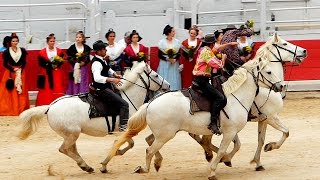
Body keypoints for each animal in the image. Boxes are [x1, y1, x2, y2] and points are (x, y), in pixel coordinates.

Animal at [18, 61, 170, 173]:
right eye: (156, 76)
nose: (168, 85)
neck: (129, 96)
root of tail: (50, 107)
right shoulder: (126, 129)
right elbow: (130, 143)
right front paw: (114, 155)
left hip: (70, 135)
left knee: (71, 149)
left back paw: (86, 166)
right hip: (72, 134)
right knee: (64, 149)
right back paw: (85, 166)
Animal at [101, 57, 284, 179]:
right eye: (268, 72)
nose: (281, 86)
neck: (235, 96)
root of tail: (150, 103)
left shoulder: (231, 131)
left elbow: (236, 146)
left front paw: (226, 160)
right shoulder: (232, 131)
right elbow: (223, 149)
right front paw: (213, 170)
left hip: (163, 134)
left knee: (149, 142)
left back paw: (155, 163)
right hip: (165, 135)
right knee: (149, 150)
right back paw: (144, 168)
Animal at [190, 32, 308, 170]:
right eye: (284, 43)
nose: (304, 51)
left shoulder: (263, 120)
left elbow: (261, 140)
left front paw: (258, 163)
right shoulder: (272, 117)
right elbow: (286, 132)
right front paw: (270, 147)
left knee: (201, 139)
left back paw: (216, 156)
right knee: (205, 140)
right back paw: (220, 157)